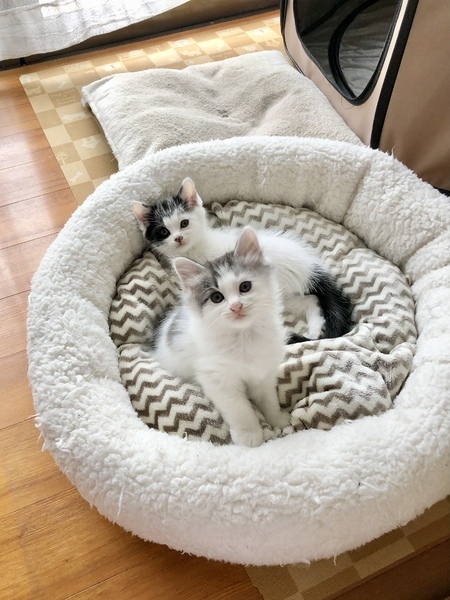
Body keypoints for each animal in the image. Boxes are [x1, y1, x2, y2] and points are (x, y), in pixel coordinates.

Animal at [132, 178, 353, 342]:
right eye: (164, 231)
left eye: (184, 223)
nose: (178, 238)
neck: (194, 250)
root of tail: (310, 265)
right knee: (311, 300)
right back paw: (316, 328)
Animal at [153, 226, 291, 447]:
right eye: (216, 297)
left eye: (245, 287)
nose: (236, 306)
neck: (244, 337)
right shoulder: (218, 380)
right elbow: (240, 409)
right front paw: (249, 435)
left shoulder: (263, 372)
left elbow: (269, 400)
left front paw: (277, 420)